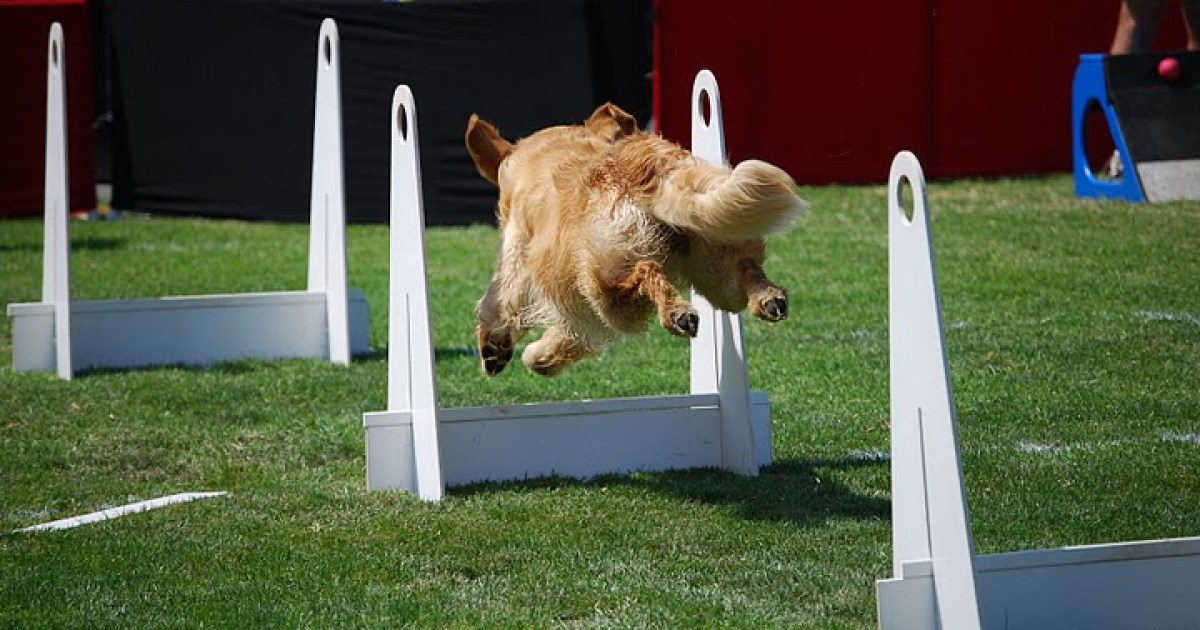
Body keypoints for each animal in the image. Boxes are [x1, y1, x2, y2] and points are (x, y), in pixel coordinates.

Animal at [463, 102, 811, 376]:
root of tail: (649, 167)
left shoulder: (518, 261)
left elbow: (498, 304)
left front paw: (497, 350)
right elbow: (567, 337)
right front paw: (542, 357)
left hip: (605, 283)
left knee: (647, 271)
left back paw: (676, 313)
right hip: (717, 259)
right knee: (746, 272)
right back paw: (769, 299)